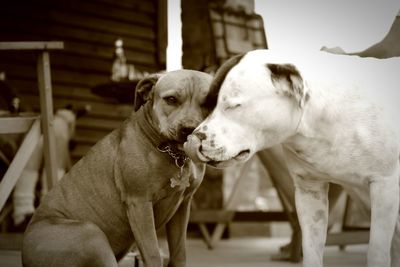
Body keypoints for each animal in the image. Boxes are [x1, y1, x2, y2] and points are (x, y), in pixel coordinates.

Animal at [22, 70, 212, 266]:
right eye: (171, 99)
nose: (189, 128)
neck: (172, 154)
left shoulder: (183, 206)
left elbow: (179, 252)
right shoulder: (139, 203)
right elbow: (153, 254)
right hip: (91, 233)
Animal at [185, 49, 400, 266]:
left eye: (235, 105)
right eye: (211, 104)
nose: (193, 139)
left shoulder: (384, 186)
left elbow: (377, 250)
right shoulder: (309, 190)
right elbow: (312, 249)